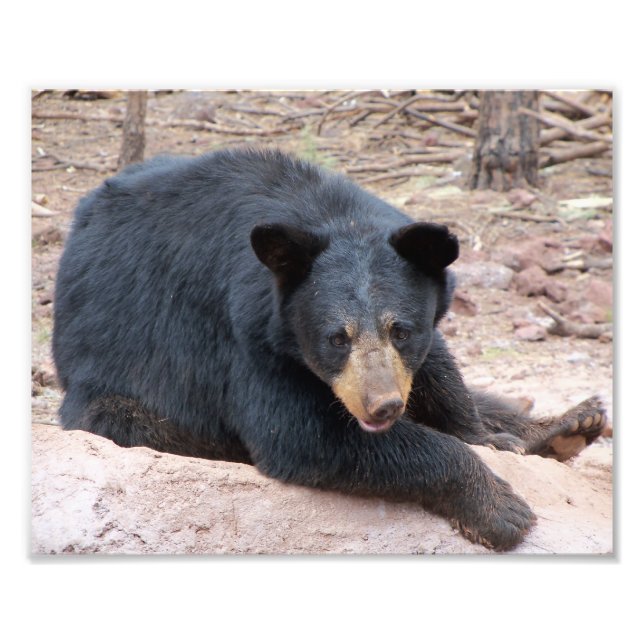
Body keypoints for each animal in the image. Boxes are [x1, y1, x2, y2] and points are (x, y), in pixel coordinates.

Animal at [52, 148, 607, 551]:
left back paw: (571, 423)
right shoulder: (241, 332)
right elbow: (301, 433)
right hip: (116, 380)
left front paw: (494, 438)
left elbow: (442, 374)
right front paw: (500, 508)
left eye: (400, 330)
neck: (324, 215)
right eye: (336, 338)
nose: (383, 407)